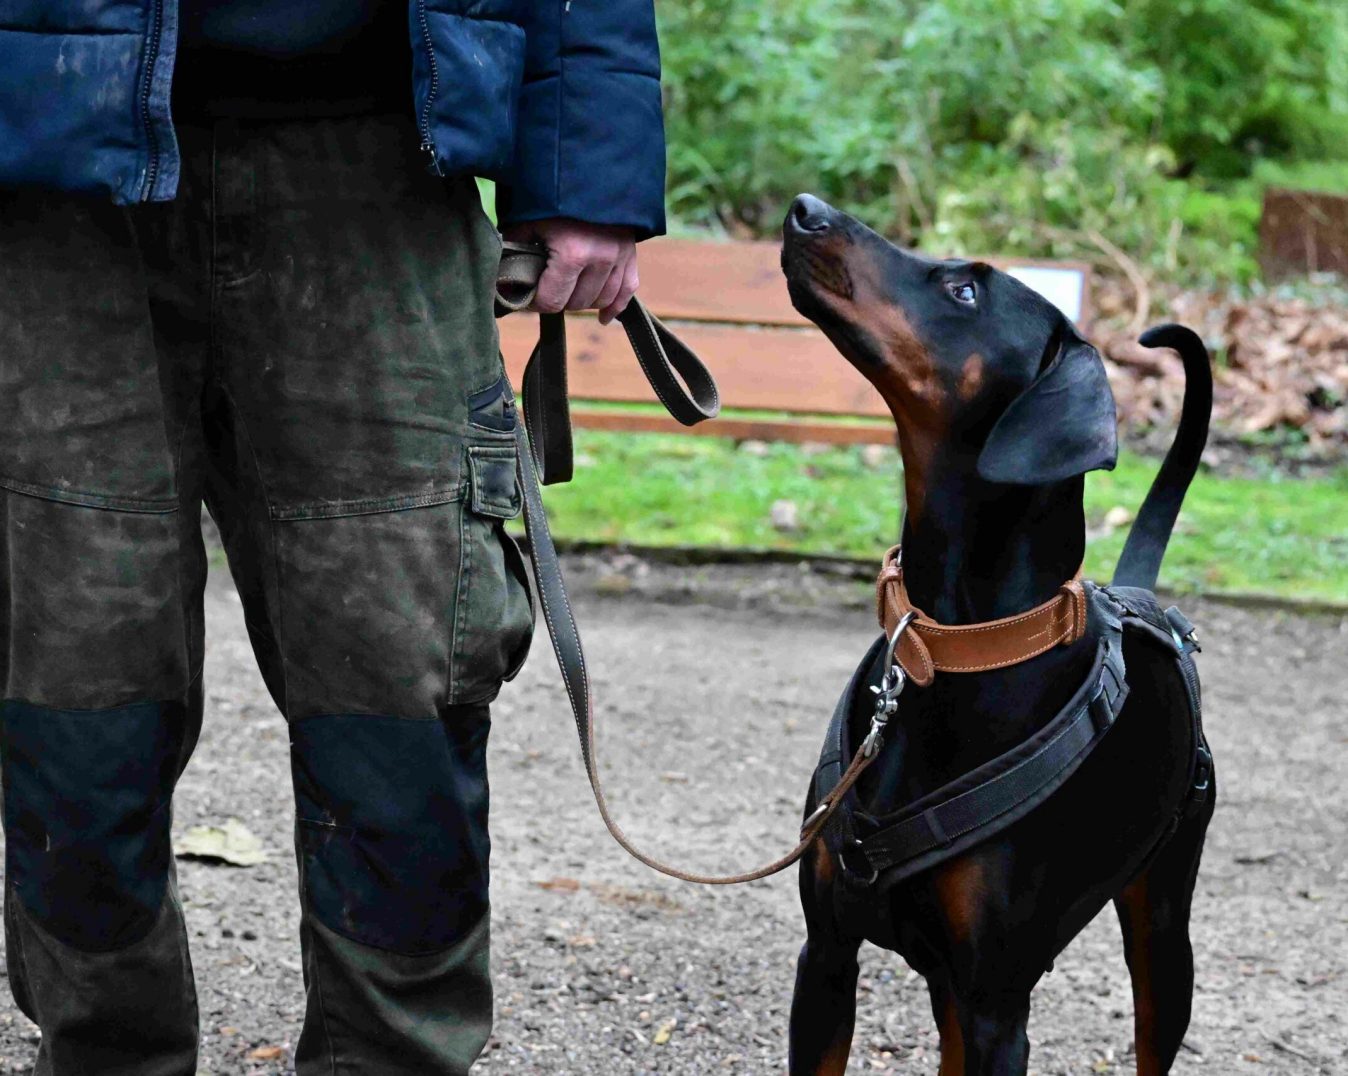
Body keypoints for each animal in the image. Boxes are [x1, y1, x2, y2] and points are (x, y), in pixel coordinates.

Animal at [781, 195, 1213, 1076]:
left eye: (965, 292)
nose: (807, 209)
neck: (953, 642)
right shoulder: (828, 955)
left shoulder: (997, 1006)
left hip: (1163, 927)